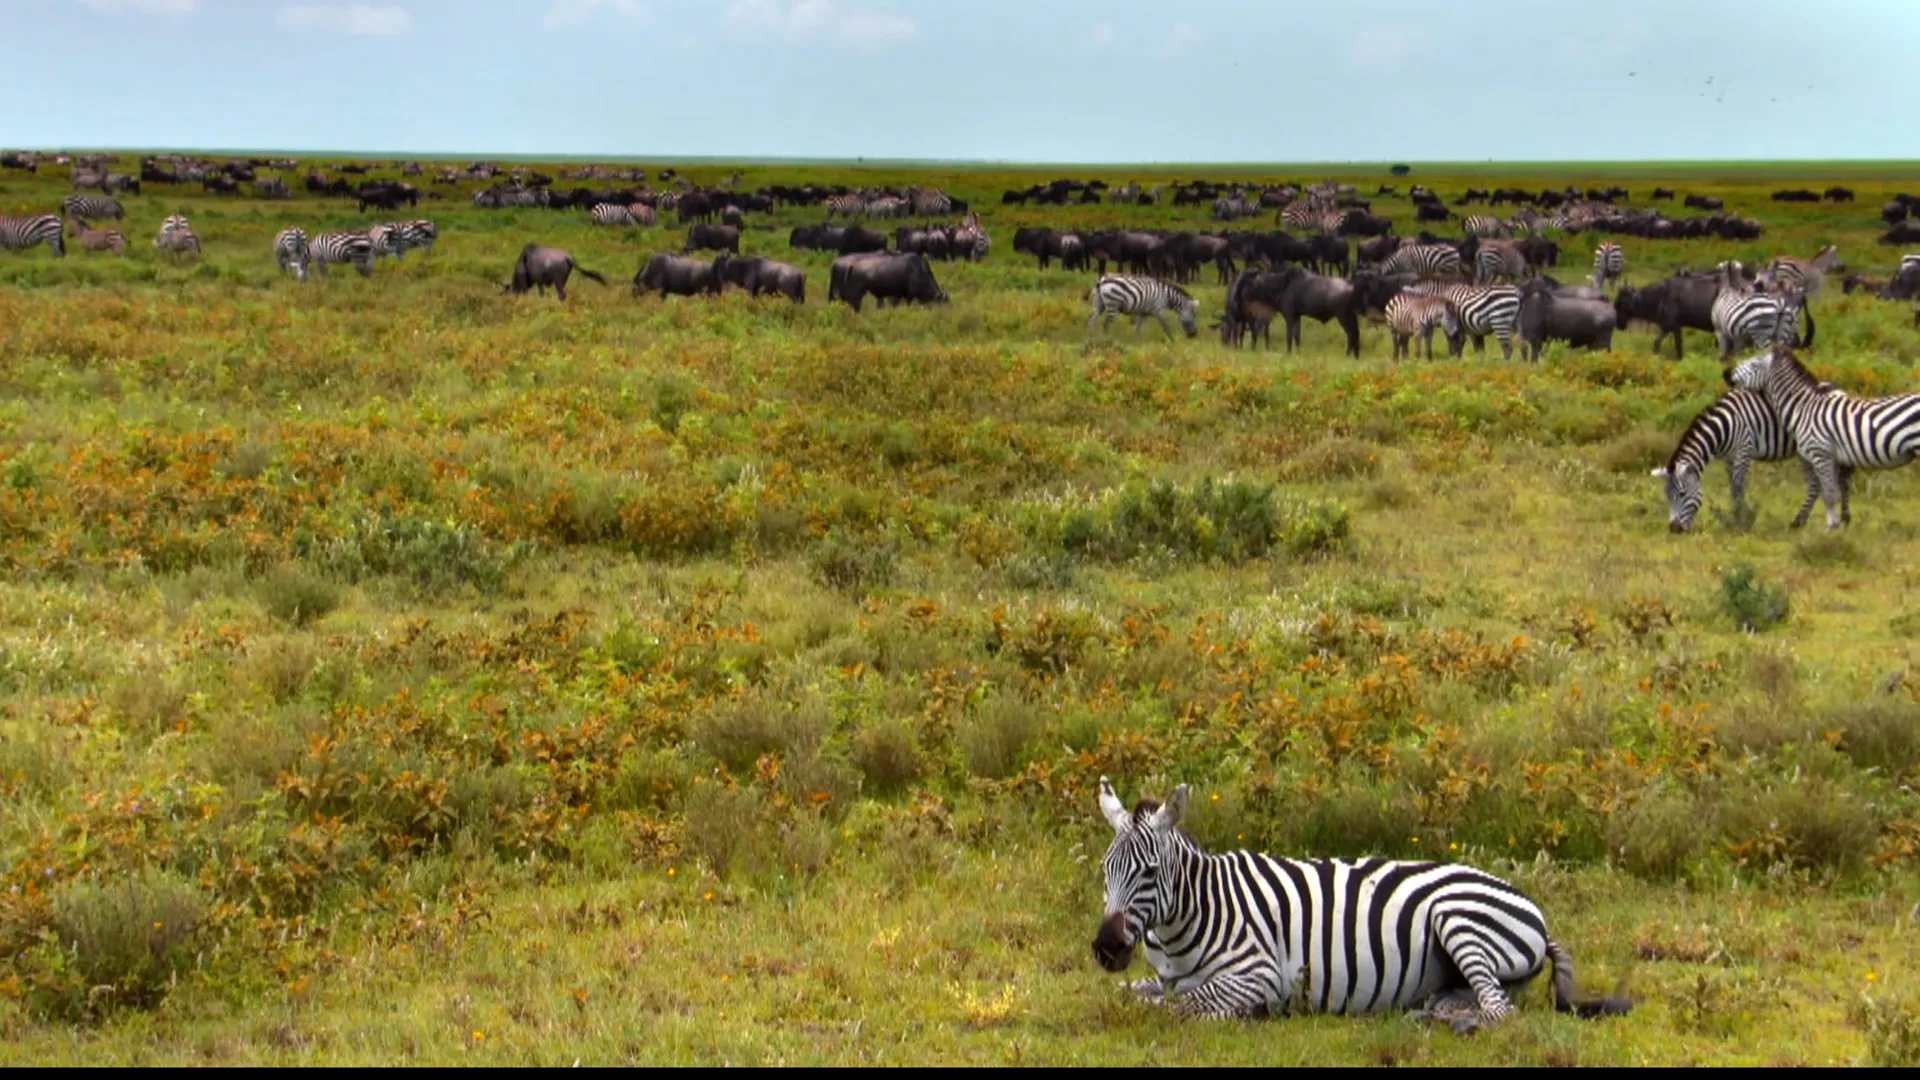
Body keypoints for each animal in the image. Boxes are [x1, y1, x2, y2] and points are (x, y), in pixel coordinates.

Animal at [1091, 779, 1629, 1027]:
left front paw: (1250, 1012)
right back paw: (1429, 1016)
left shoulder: (1260, 974)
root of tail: (1536, 913)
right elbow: (1133, 994)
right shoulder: (1160, 976)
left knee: (1499, 1011)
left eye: (1149, 873)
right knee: (1477, 999)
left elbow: (1177, 1007)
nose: (1105, 948)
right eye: (1104, 870)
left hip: (1459, 919)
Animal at [1654, 386, 1846, 533]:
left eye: (1682, 494)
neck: (1724, 426)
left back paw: (1803, 521)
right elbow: (1735, 486)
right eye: (1667, 496)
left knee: (1822, 484)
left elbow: (1737, 487)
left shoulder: (1743, 451)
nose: (1674, 529)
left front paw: (1739, 520)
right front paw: (1740, 515)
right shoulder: (1728, 458)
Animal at [1728, 344, 1920, 530]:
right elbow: (1834, 489)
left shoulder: (1821, 453)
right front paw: (1838, 525)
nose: (1728, 374)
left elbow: (1828, 493)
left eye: (1754, 364)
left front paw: (1830, 528)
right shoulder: (1833, 457)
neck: (1803, 408)